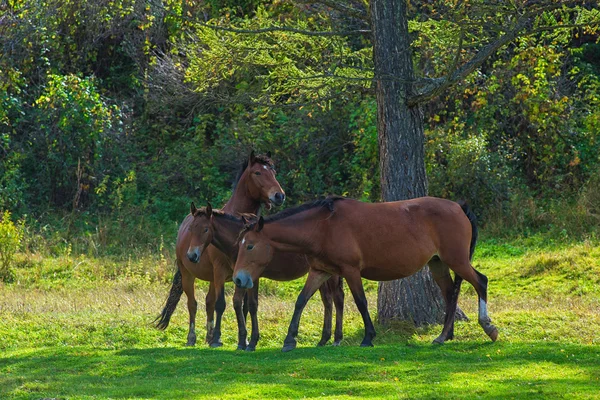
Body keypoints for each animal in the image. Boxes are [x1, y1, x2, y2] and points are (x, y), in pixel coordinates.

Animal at [155, 151, 286, 346]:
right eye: (257, 173)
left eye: (274, 172)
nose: (279, 196)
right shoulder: (220, 271)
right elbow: (221, 304)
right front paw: (223, 339)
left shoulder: (243, 275)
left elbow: (243, 306)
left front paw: (243, 339)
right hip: (189, 274)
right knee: (193, 304)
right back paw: (192, 337)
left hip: (212, 278)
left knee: (209, 302)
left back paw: (209, 336)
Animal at [185, 203, 344, 350]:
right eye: (191, 229)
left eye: (205, 229)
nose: (192, 255)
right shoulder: (243, 278)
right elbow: (243, 304)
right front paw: (245, 341)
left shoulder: (251, 277)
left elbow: (248, 304)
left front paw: (249, 341)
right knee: (327, 301)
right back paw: (323, 339)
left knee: (338, 298)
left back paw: (336, 338)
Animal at [232, 196, 500, 350]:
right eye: (240, 244)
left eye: (250, 245)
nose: (239, 278)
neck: (323, 226)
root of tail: (458, 206)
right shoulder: (320, 271)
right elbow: (301, 301)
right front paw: (290, 340)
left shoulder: (351, 271)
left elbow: (361, 302)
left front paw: (368, 337)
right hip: (438, 264)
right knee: (450, 293)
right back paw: (444, 336)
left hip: (457, 261)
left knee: (481, 282)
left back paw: (488, 327)